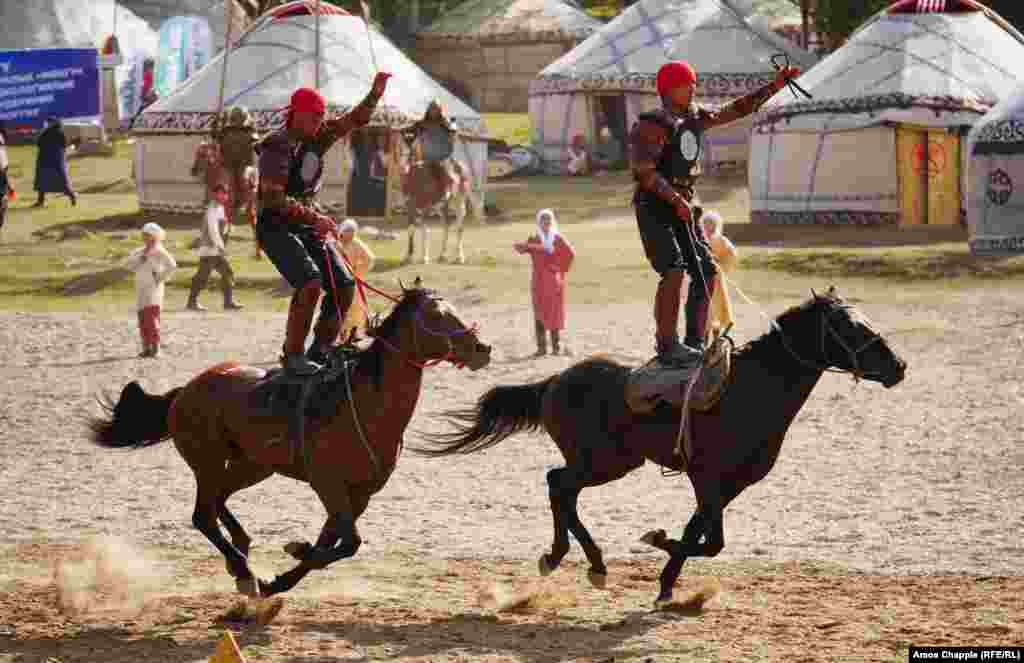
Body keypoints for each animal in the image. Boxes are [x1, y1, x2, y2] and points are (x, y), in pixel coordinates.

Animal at [90, 281, 492, 598]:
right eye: (436, 315)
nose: (482, 349)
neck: (363, 403)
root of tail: (186, 390)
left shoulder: (359, 494)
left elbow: (335, 543)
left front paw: (281, 578)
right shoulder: (328, 484)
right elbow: (348, 543)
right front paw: (295, 551)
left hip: (252, 466)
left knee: (218, 502)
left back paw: (242, 556)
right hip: (207, 461)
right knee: (203, 515)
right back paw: (243, 570)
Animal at [413, 287, 907, 606]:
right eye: (849, 325)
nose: (899, 365)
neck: (748, 390)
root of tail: (555, 380)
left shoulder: (729, 486)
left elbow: (699, 533)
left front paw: (667, 583)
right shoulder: (706, 478)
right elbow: (710, 542)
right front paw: (657, 541)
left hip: (611, 463)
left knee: (562, 490)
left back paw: (582, 561)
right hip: (602, 464)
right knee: (558, 484)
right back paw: (572, 559)